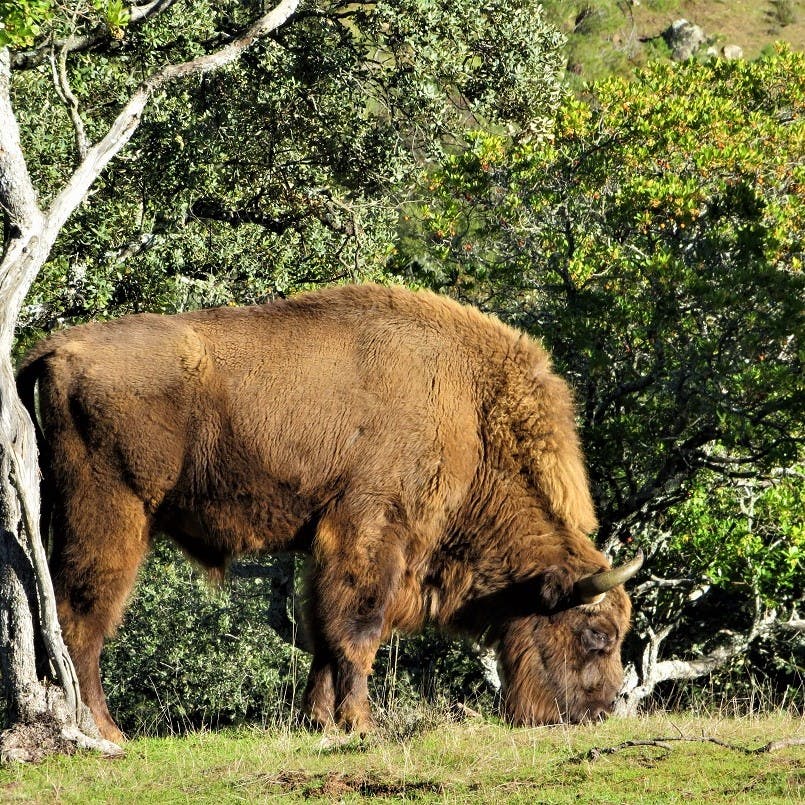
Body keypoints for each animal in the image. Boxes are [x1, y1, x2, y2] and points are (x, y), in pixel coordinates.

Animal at [17, 282, 640, 740]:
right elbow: (357, 632)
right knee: (81, 618)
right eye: (596, 635)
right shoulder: (372, 534)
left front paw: (318, 721)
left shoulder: (329, 547)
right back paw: (105, 733)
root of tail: (59, 348)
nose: (600, 712)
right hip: (111, 516)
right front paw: (361, 726)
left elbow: (322, 632)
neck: (471, 415)